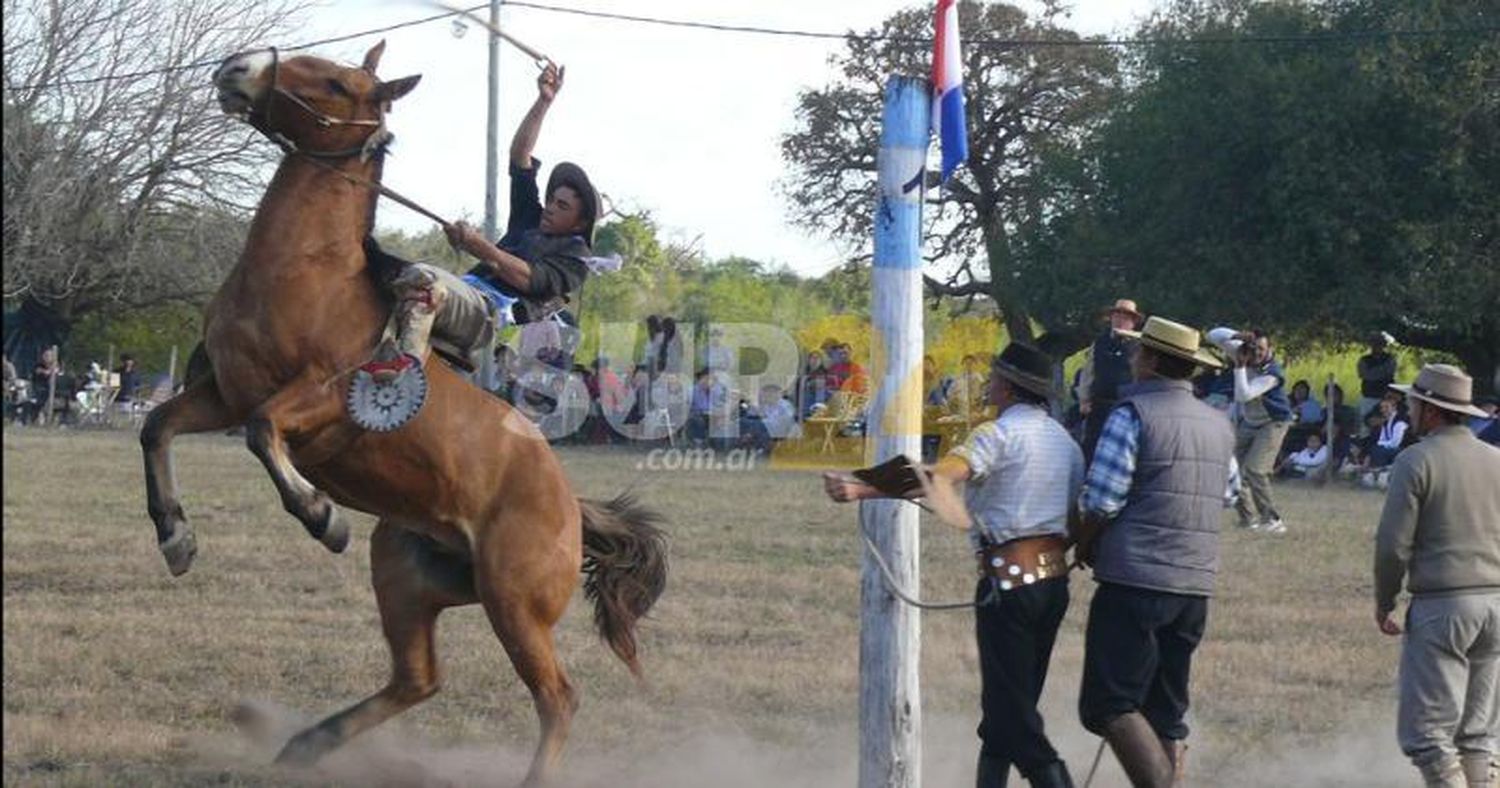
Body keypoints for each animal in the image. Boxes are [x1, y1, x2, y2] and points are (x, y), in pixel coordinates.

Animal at [141, 41, 669, 780]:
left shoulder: (320, 399)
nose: (237, 68)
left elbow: (262, 432)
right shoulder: (223, 391)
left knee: (558, 697)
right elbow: (157, 427)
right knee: (418, 678)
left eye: (339, 82)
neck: (307, 273)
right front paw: (177, 539)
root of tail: (572, 507)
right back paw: (307, 743)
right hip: (405, 572)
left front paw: (321, 516)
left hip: (515, 600)